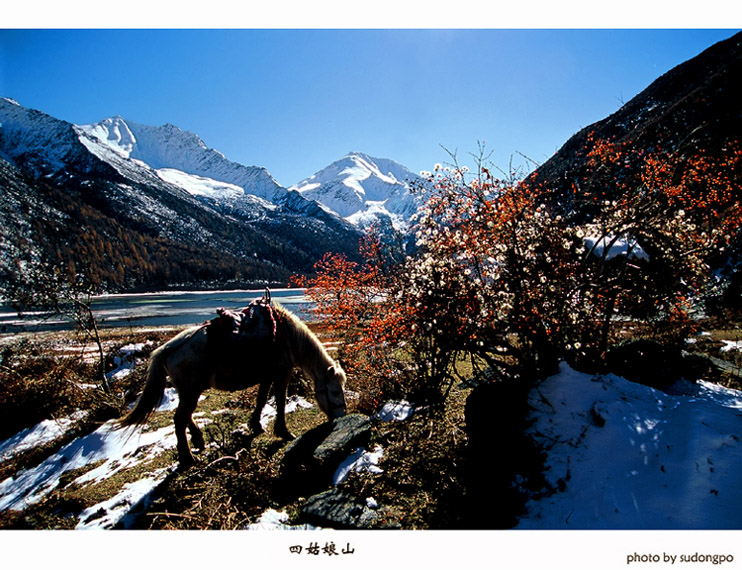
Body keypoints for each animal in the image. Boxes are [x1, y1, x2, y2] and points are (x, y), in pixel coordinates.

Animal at [118, 302, 346, 466]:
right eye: (335, 391)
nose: (341, 416)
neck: (287, 337)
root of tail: (169, 347)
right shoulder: (282, 372)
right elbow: (280, 400)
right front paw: (283, 431)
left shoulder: (267, 375)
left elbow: (261, 399)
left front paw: (256, 425)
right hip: (191, 391)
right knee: (179, 419)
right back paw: (188, 458)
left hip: (187, 391)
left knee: (184, 416)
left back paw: (198, 440)